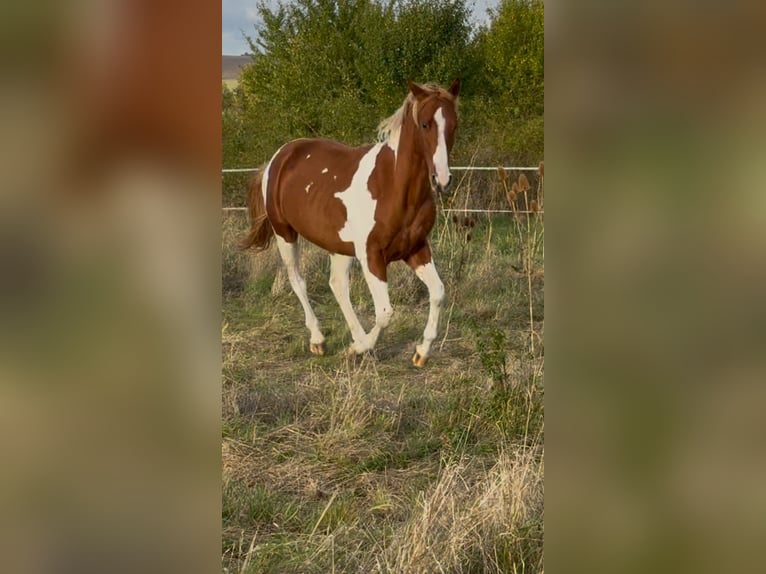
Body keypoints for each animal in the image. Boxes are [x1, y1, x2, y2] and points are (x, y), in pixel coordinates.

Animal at [240, 79, 460, 367]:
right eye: (425, 124)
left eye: (454, 125)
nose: (442, 180)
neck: (393, 185)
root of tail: (279, 157)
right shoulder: (371, 256)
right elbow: (385, 313)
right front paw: (359, 349)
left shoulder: (416, 248)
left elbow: (438, 293)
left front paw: (421, 353)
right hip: (284, 233)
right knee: (298, 281)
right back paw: (319, 341)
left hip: (339, 246)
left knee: (337, 286)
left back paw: (354, 337)